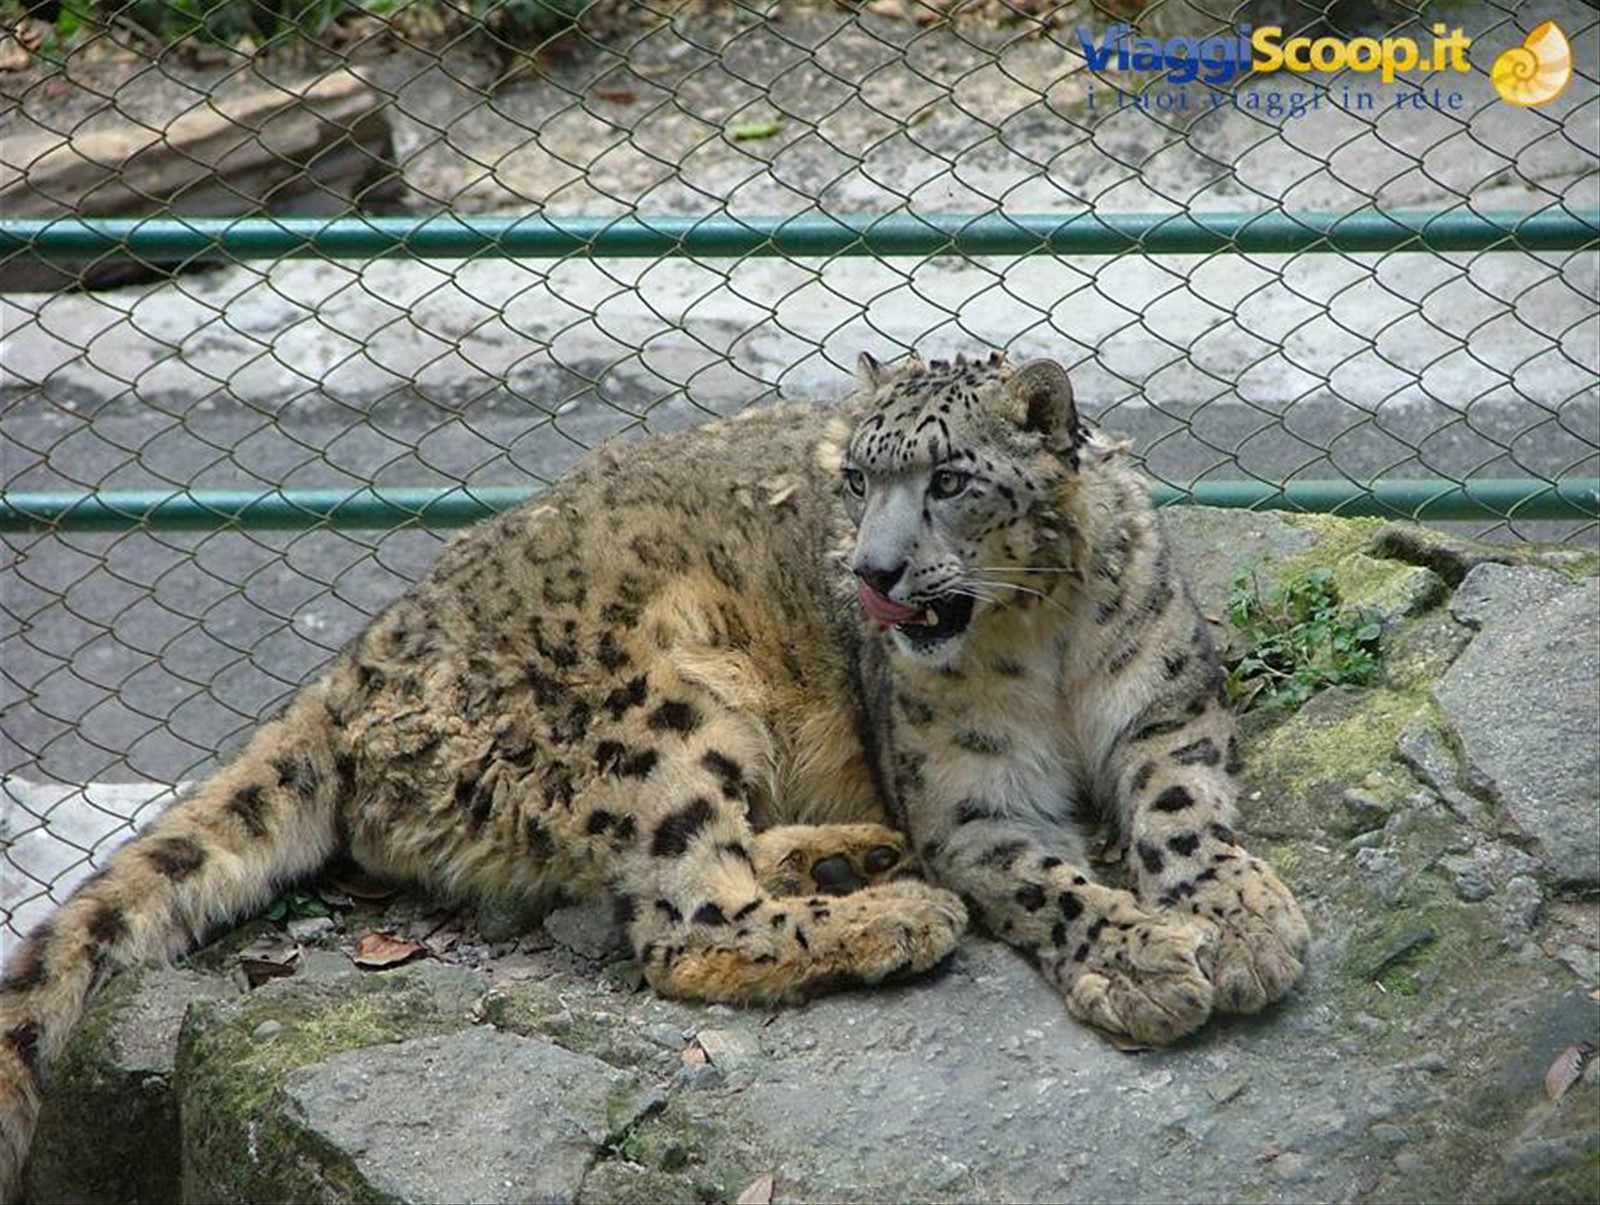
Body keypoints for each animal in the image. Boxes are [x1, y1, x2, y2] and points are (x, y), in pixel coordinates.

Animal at [0, 350, 1309, 1200]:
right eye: (855, 481)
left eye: (948, 479)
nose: (875, 571)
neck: (1040, 643)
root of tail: (346, 667)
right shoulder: (968, 797)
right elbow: (1046, 879)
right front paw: (1146, 960)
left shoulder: (1166, 704)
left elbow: (1187, 813)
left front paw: (1240, 924)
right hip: (666, 703)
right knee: (683, 920)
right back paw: (893, 908)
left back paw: (846, 854)